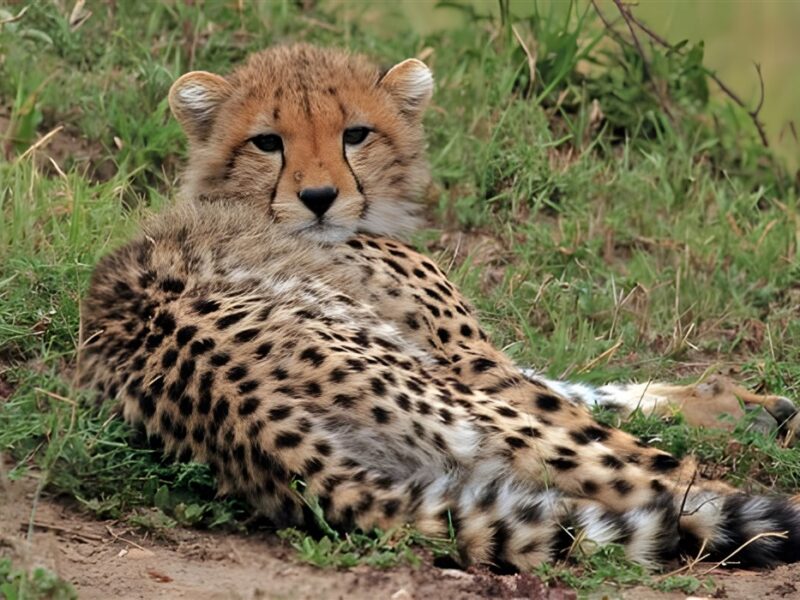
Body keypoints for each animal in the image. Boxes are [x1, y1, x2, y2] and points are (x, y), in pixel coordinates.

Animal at [78, 44, 800, 571]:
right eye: (267, 142)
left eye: (355, 134)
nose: (318, 198)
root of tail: (248, 421)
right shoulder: (469, 365)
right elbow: (584, 407)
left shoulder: (459, 358)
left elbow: (590, 387)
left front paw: (744, 405)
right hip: (454, 406)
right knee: (644, 476)